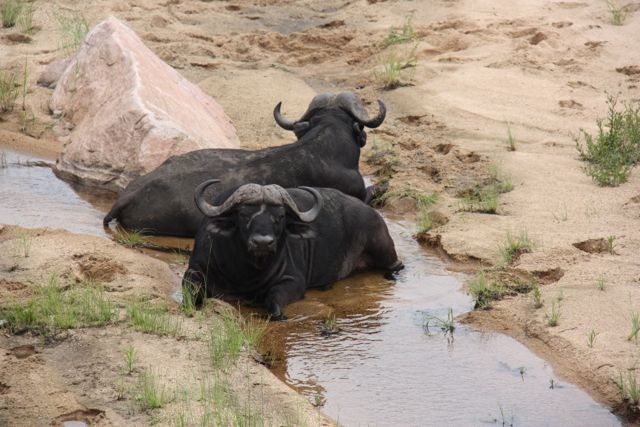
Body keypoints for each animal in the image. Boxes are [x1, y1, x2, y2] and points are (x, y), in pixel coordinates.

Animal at [182, 180, 403, 319]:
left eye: (279, 217)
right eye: (244, 215)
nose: (263, 242)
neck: (246, 271)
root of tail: (371, 212)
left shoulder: (293, 280)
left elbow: (274, 300)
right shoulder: (195, 269)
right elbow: (189, 292)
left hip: (384, 249)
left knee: (397, 265)